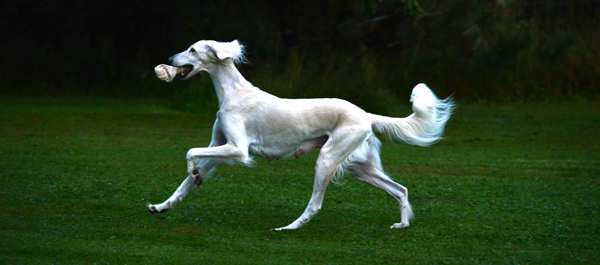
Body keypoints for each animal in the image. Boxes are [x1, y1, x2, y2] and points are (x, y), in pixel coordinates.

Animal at [146, 39, 454, 229]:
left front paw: (193, 173)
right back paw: (402, 224)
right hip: (360, 167)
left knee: (314, 206)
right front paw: (163, 205)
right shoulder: (219, 147)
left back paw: (288, 227)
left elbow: (189, 152)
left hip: (328, 159)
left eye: (192, 50)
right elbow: (185, 183)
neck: (233, 93)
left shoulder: (238, 149)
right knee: (401, 190)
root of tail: (366, 114)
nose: (169, 59)